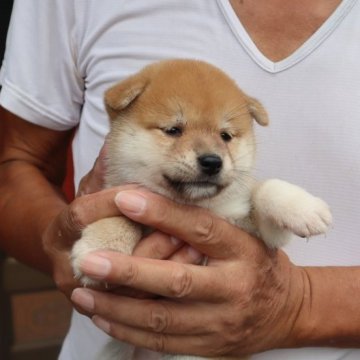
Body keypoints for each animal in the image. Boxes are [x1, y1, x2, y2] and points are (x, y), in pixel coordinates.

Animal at [71, 59, 332, 360]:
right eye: (174, 130)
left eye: (225, 136)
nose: (212, 161)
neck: (195, 205)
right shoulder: (121, 191)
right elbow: (119, 215)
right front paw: (101, 249)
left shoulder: (259, 233)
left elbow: (263, 189)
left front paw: (304, 208)